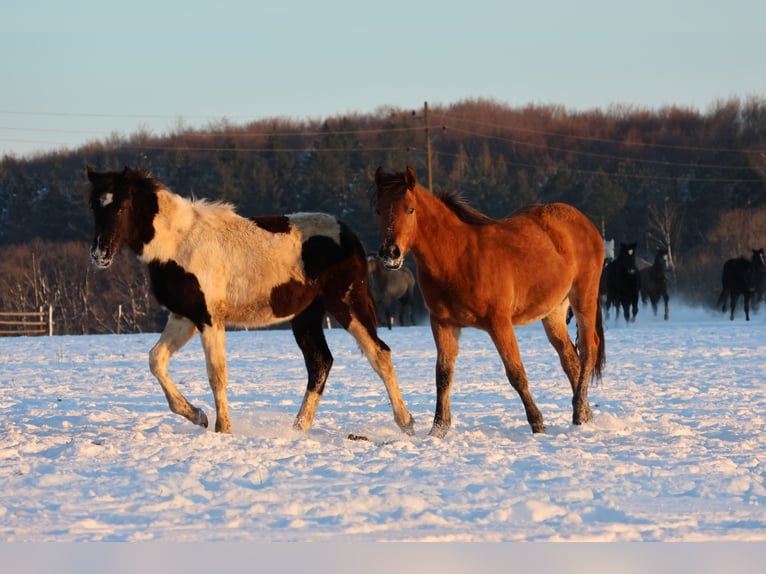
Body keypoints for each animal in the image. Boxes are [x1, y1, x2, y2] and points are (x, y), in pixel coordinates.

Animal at [86, 166, 414, 435]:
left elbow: (217, 375)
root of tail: (349, 236)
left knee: (379, 354)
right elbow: (156, 361)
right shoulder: (184, 318)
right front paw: (197, 415)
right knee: (320, 363)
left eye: (122, 206)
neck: (179, 243)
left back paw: (406, 423)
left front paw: (222, 429)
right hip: (306, 317)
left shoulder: (209, 320)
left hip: (347, 305)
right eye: (94, 207)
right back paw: (298, 429)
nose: (99, 254)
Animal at [372, 166, 605, 437]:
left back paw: (578, 413)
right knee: (570, 358)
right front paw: (438, 430)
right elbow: (443, 375)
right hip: (554, 311)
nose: (390, 253)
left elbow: (516, 372)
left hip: (584, 298)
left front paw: (537, 423)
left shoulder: (499, 323)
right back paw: (585, 414)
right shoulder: (443, 323)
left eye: (410, 209)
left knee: (588, 350)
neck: (457, 257)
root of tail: (583, 222)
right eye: (379, 210)